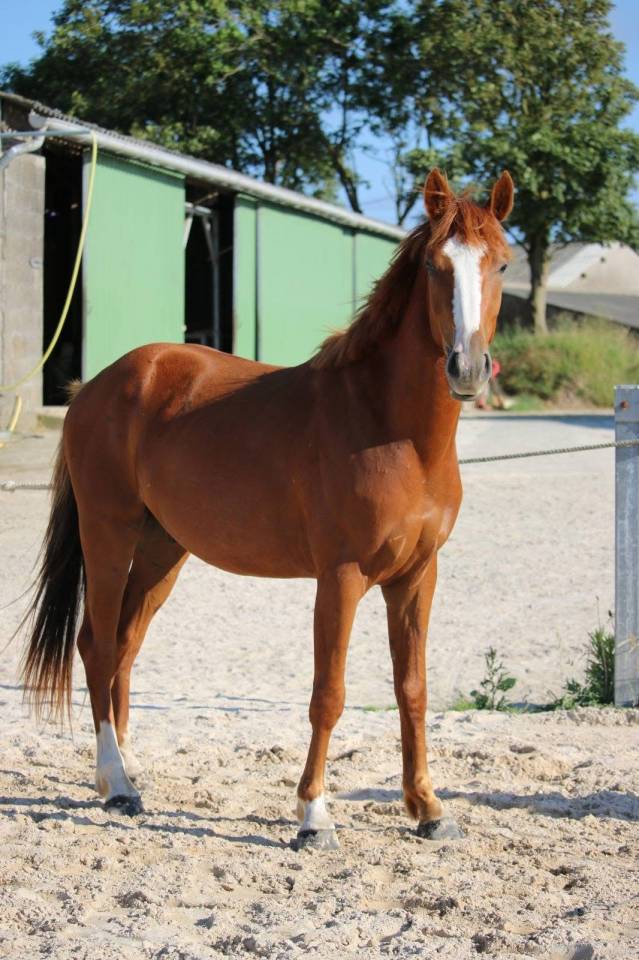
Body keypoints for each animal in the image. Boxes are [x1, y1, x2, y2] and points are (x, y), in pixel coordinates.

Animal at [21, 168, 514, 849]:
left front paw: (429, 810)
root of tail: (95, 386)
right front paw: (314, 816)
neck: (392, 430)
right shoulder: (341, 577)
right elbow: (328, 693)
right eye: (435, 266)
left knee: (123, 644)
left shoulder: (417, 576)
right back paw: (117, 785)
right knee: (95, 644)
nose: (467, 368)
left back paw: (126, 768)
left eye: (501, 263)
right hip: (108, 535)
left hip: (163, 549)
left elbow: (412, 689)